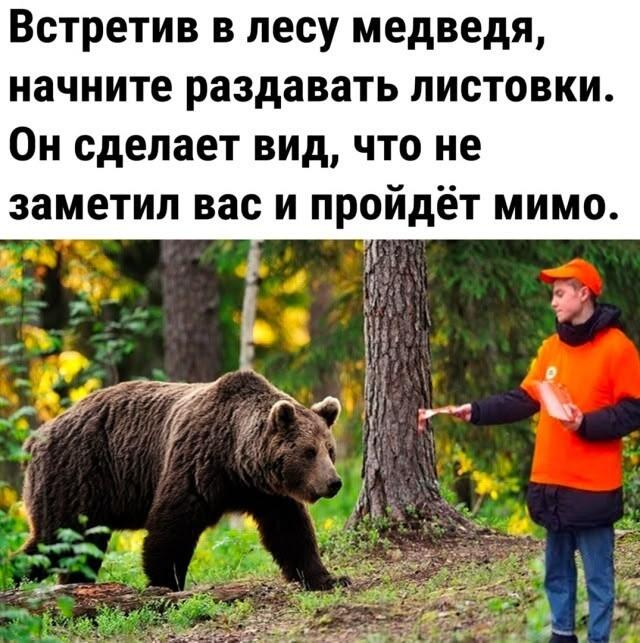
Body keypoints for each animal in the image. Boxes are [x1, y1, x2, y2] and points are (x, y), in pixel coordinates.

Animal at [20, 370, 349, 591]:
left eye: (329, 449)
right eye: (308, 452)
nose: (334, 482)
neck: (236, 460)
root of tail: (37, 437)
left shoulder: (267, 493)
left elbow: (290, 532)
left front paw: (328, 577)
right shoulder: (197, 463)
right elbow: (172, 526)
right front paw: (167, 582)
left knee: (80, 548)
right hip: (77, 474)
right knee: (57, 539)